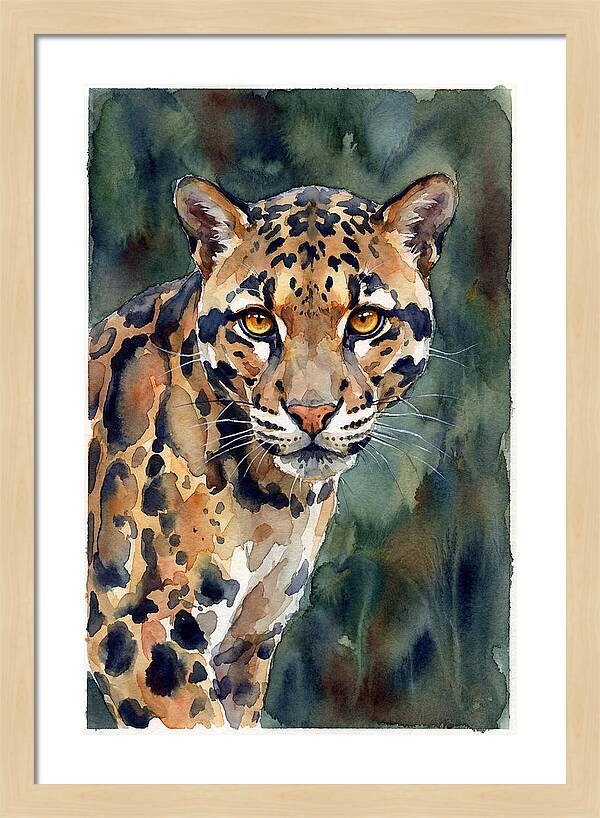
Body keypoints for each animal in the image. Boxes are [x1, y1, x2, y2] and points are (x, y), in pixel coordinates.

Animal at [87, 173, 457, 729]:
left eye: (366, 321)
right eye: (258, 322)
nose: (312, 413)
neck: (273, 501)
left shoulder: (247, 644)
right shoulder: (140, 632)